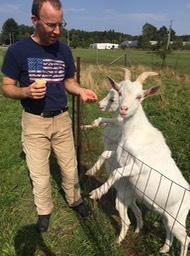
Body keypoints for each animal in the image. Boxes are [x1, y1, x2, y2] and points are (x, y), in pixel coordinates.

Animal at [89, 70, 190, 256]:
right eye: (120, 92)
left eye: (139, 96)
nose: (123, 109)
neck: (136, 133)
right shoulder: (120, 155)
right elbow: (106, 153)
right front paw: (91, 171)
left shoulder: (138, 167)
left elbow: (116, 173)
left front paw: (97, 192)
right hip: (165, 214)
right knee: (168, 229)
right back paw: (164, 248)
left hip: (178, 218)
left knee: (186, 239)